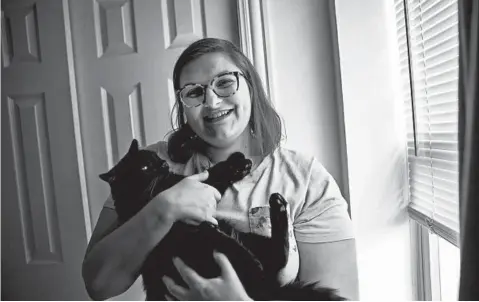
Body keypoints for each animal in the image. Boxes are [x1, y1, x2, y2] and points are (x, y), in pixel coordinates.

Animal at [100, 140, 344, 300]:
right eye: (144, 167)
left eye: (155, 158)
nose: (163, 164)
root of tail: (267, 292)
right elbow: (214, 173)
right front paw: (238, 162)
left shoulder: (201, 185)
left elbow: (215, 172)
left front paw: (238, 162)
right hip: (210, 242)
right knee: (261, 267)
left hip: (252, 238)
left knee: (278, 257)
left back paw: (278, 205)